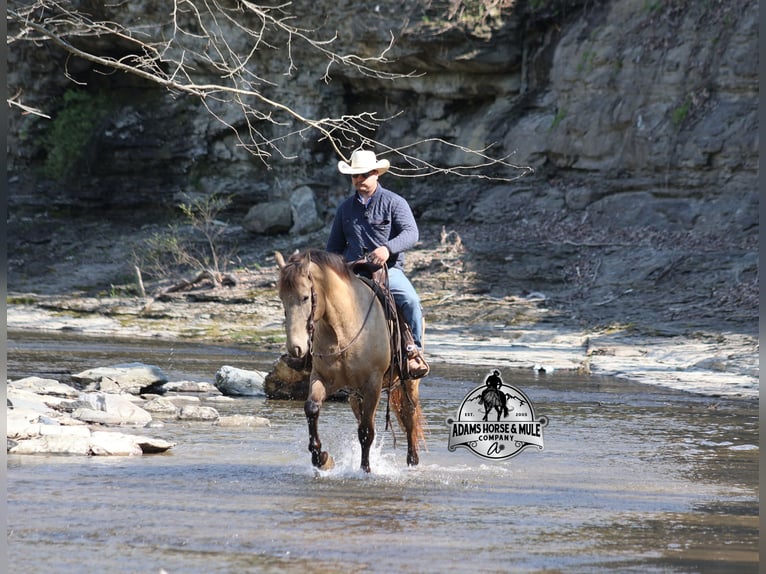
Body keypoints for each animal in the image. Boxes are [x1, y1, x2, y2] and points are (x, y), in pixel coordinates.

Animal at [275, 249, 425, 473]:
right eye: (282, 298)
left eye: (305, 297)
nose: (296, 348)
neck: (343, 330)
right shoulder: (322, 378)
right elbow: (312, 408)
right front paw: (322, 458)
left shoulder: (373, 384)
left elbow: (366, 431)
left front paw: (366, 470)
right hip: (355, 395)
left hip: (409, 382)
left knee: (409, 416)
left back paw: (412, 461)